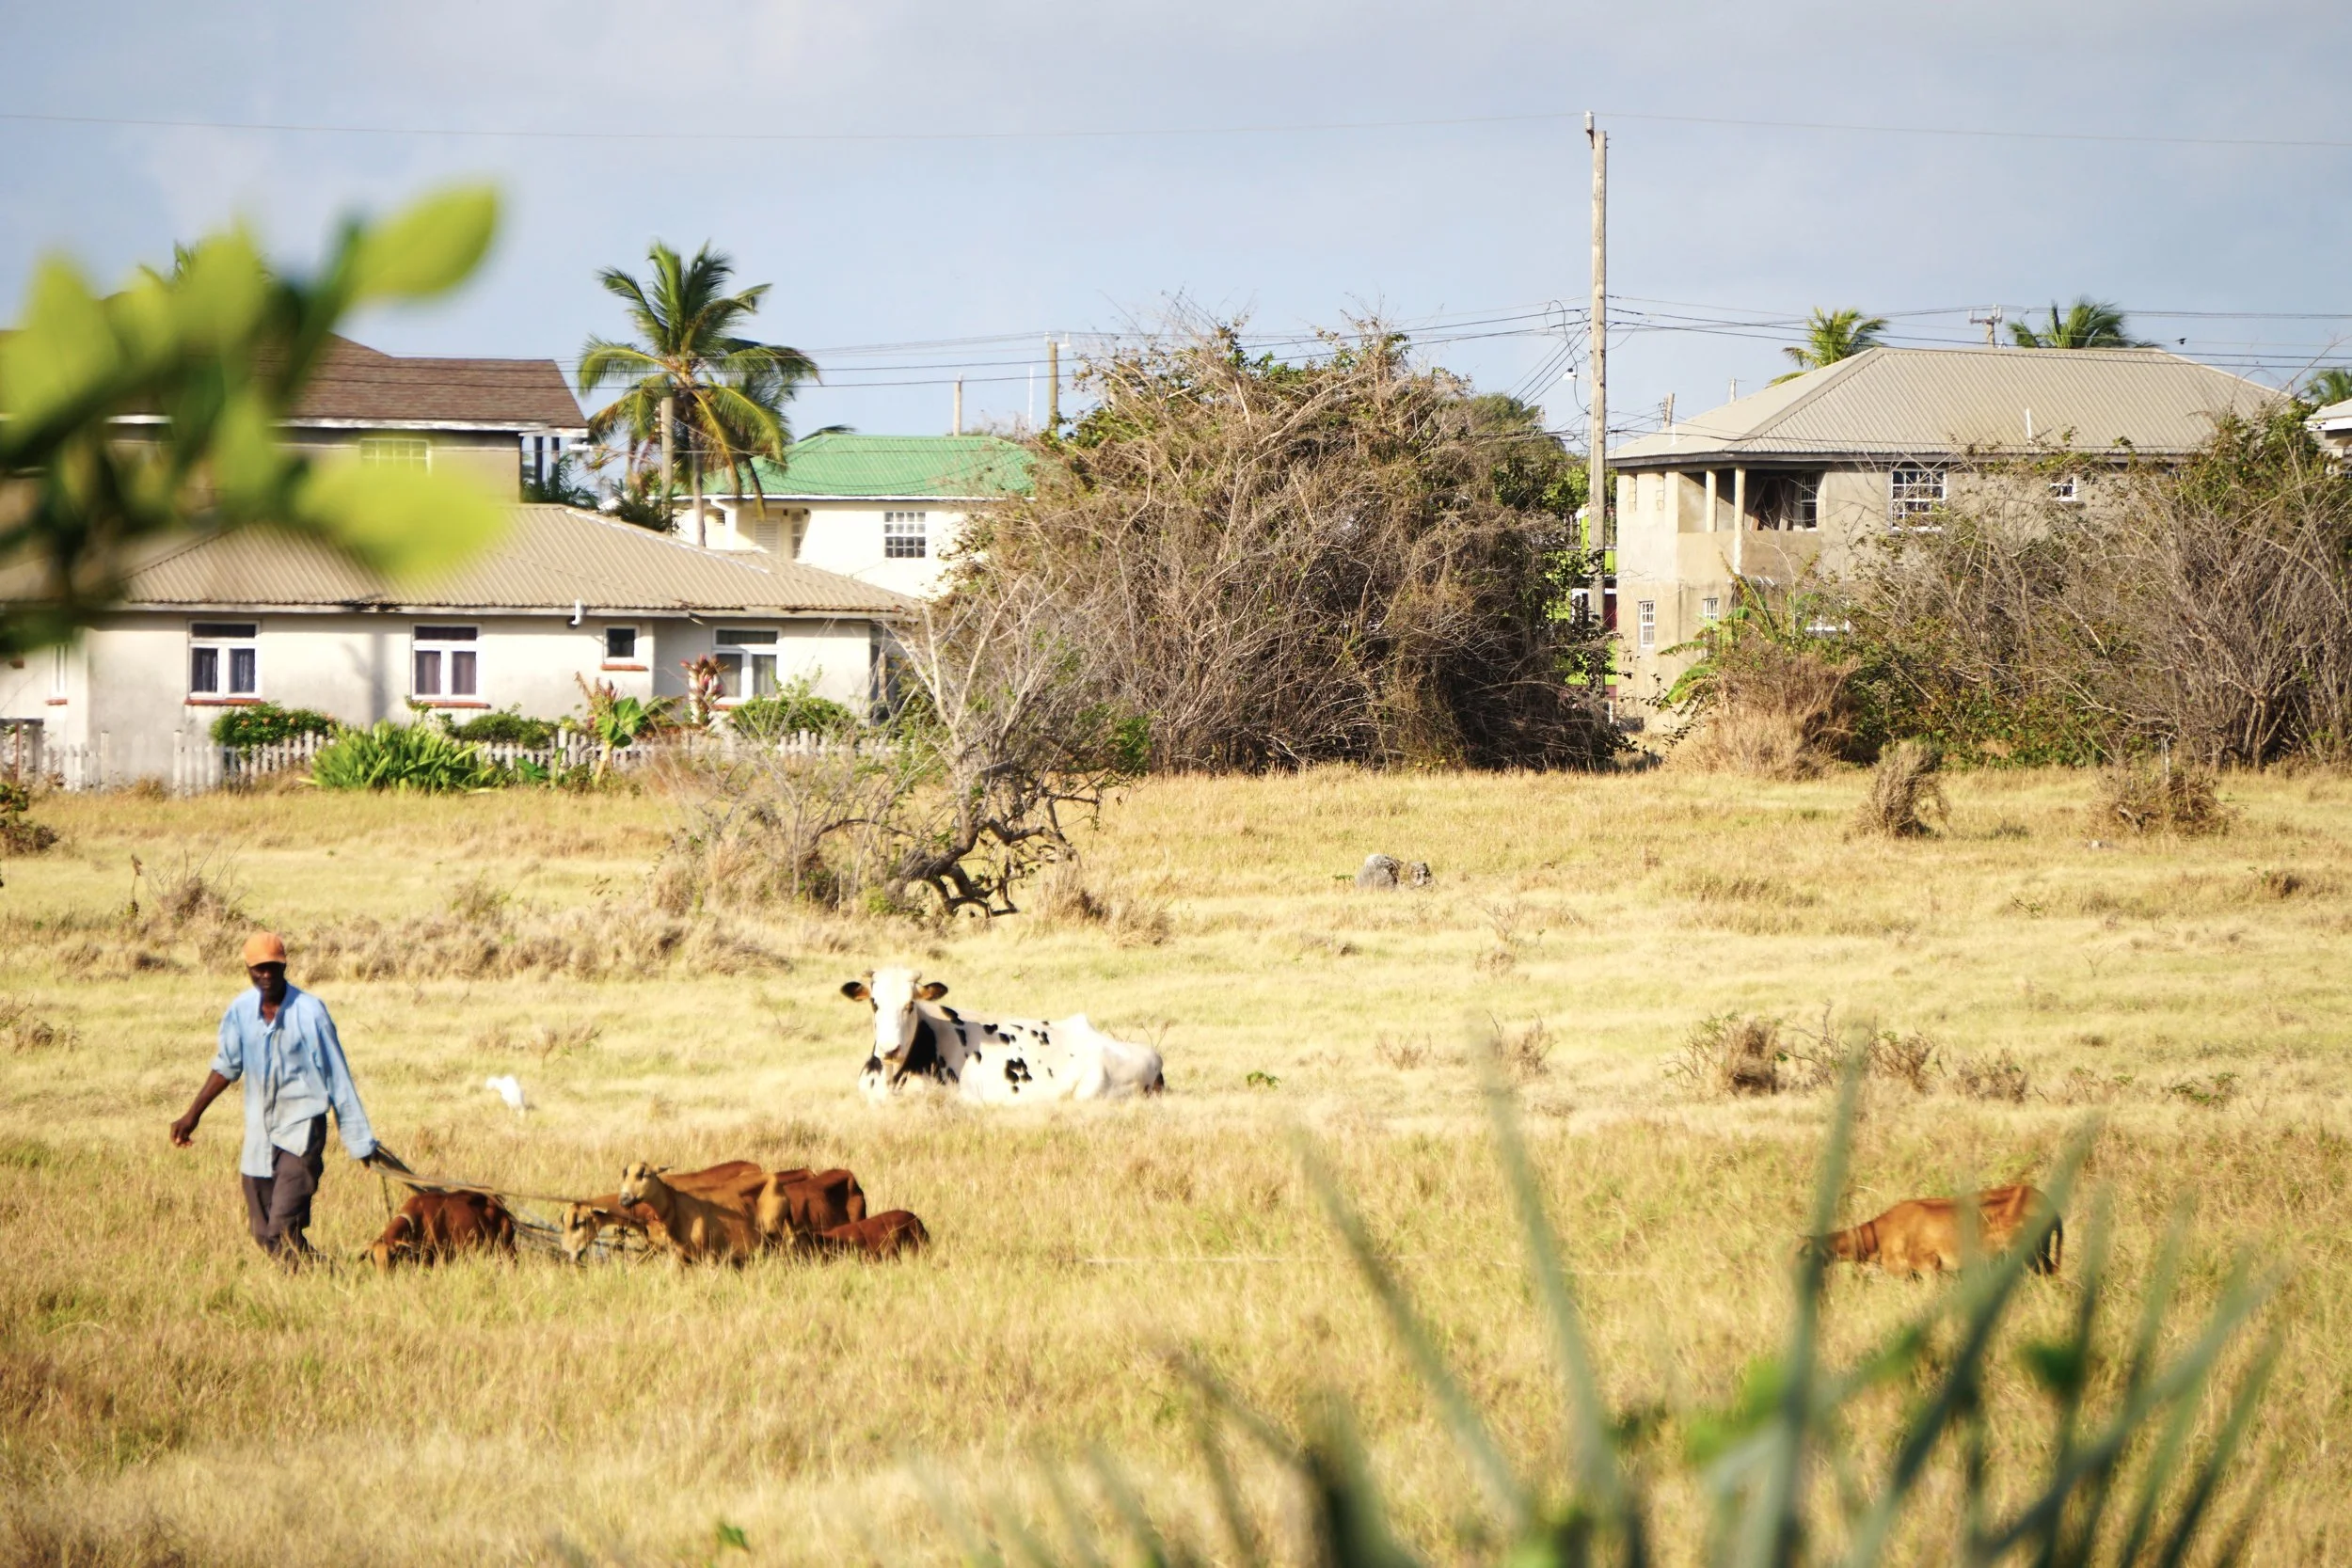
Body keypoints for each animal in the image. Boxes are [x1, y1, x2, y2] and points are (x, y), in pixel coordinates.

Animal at [367, 1189, 517, 1270]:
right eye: (373, 1258)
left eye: (392, 1256)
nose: (383, 1278)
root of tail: (497, 1203)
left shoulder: (436, 1257)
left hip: (507, 1247)